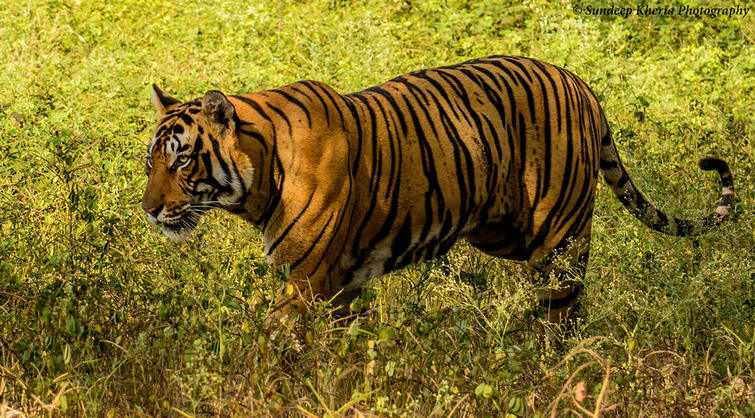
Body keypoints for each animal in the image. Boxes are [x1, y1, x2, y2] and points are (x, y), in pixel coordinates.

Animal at [140, 55, 732, 324]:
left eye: (182, 159)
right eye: (150, 163)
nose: (148, 211)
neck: (261, 177)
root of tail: (579, 81)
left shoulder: (308, 280)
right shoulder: (339, 285)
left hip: (557, 238)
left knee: (563, 306)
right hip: (502, 232)